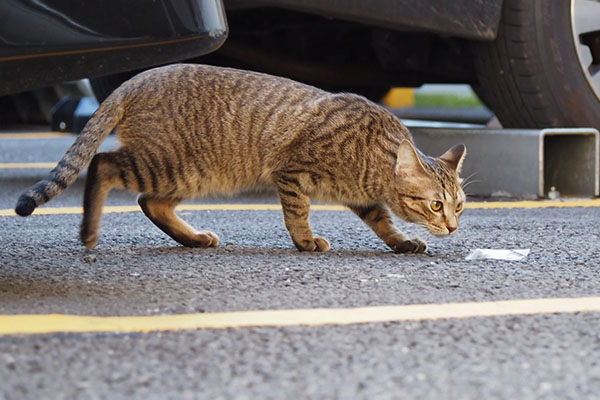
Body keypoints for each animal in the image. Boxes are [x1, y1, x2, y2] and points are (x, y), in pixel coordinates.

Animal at [14, 65, 466, 253]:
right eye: (435, 205)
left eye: (460, 205)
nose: (454, 227)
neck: (371, 155)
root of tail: (136, 78)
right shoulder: (290, 172)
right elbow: (297, 214)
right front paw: (305, 241)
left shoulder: (364, 200)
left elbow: (383, 223)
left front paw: (403, 242)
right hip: (169, 163)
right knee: (102, 165)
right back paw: (89, 232)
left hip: (188, 174)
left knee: (150, 202)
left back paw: (193, 238)